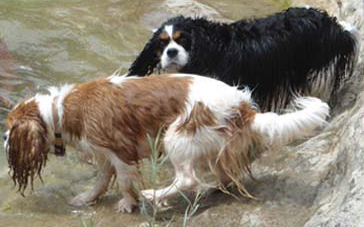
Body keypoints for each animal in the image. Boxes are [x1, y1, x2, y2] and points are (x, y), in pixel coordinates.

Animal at [4, 74, 330, 213]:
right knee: (219, 175)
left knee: (187, 179)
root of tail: (244, 110)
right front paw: (86, 198)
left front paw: (128, 203)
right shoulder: (104, 154)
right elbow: (101, 180)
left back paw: (154, 194)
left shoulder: (119, 150)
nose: (3, 138)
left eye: (8, 129)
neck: (61, 109)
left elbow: (125, 182)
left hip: (177, 135)